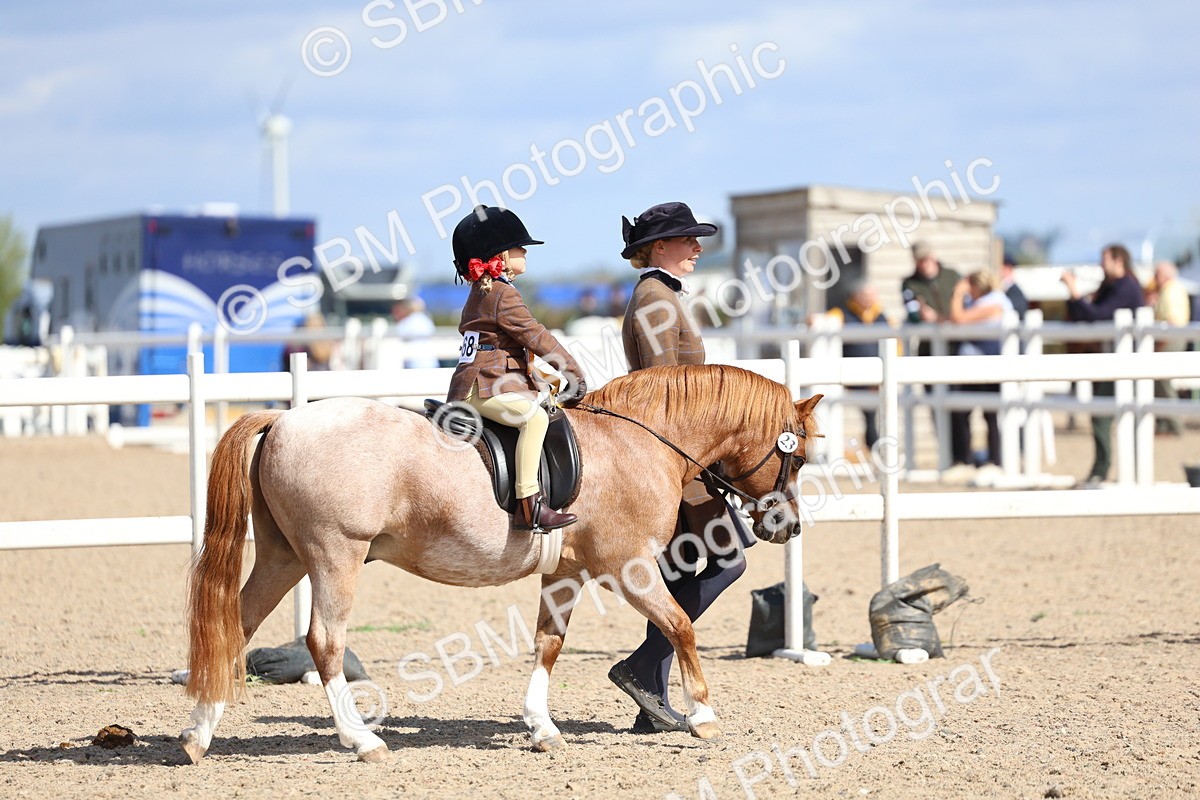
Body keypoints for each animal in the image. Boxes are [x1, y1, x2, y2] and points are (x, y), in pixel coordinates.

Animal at [180, 363, 822, 763]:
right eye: (795, 456)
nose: (787, 526)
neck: (638, 443)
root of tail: (283, 418)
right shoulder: (630, 568)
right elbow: (681, 626)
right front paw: (704, 715)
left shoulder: (565, 573)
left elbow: (548, 644)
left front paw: (542, 727)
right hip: (336, 556)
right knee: (324, 643)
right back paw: (362, 741)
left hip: (284, 558)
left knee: (236, 626)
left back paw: (196, 736)